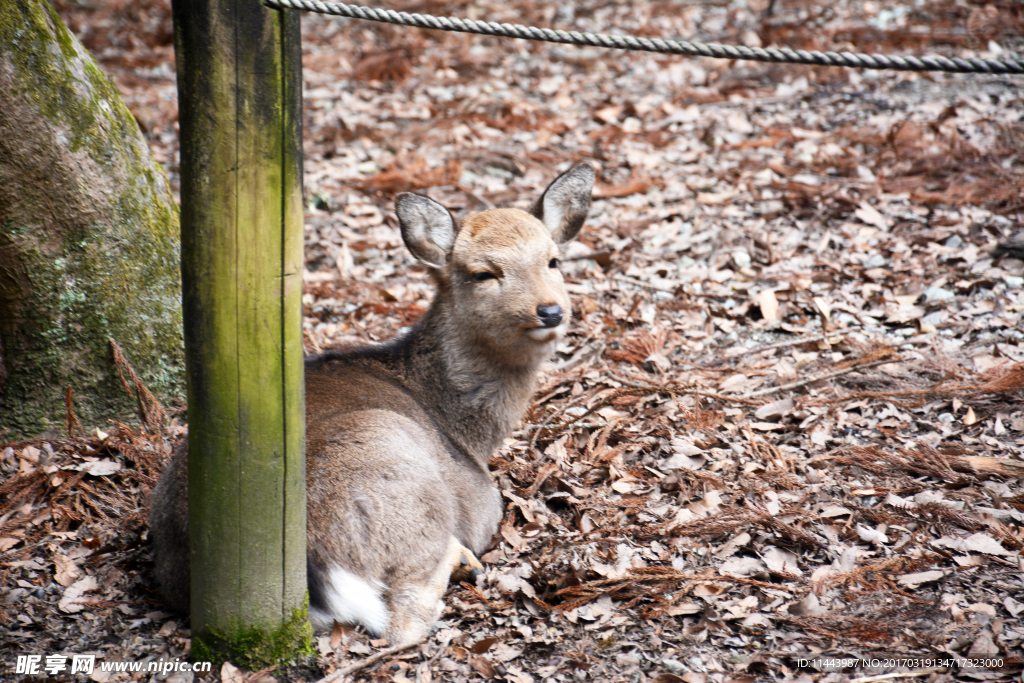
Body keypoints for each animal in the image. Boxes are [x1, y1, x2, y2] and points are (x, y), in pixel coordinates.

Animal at [149, 163, 598, 647]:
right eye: (483, 273)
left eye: (553, 261)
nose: (550, 311)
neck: (467, 432)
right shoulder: (482, 506)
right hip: (396, 463)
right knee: (404, 620)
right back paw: (460, 562)